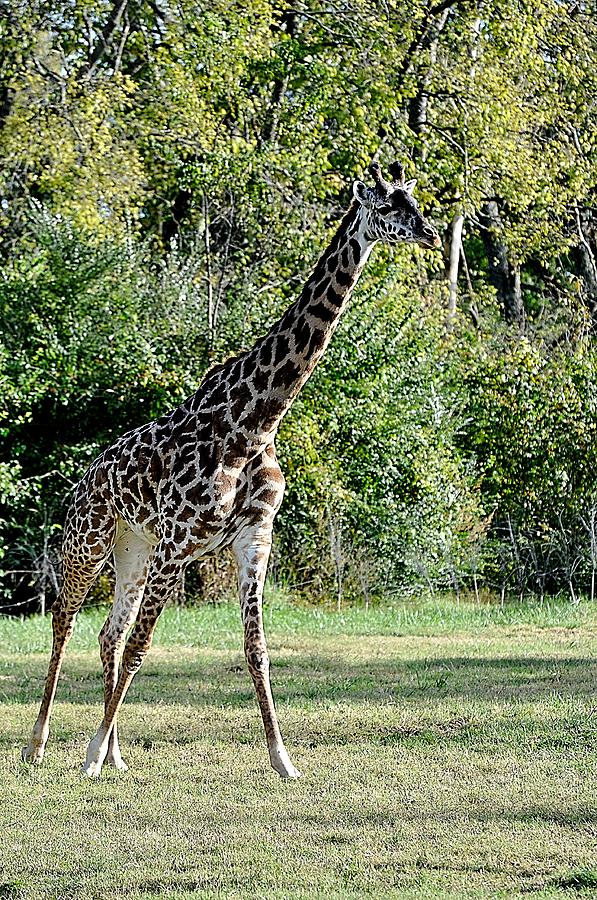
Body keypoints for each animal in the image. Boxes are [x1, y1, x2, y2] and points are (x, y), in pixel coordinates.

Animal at [22, 162, 438, 780]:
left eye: (415, 201)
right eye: (387, 206)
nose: (431, 234)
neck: (254, 421)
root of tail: (83, 479)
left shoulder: (252, 538)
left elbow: (255, 650)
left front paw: (283, 759)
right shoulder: (179, 543)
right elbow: (144, 648)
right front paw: (90, 755)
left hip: (132, 547)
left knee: (108, 633)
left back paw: (116, 753)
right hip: (88, 543)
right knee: (65, 621)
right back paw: (40, 745)